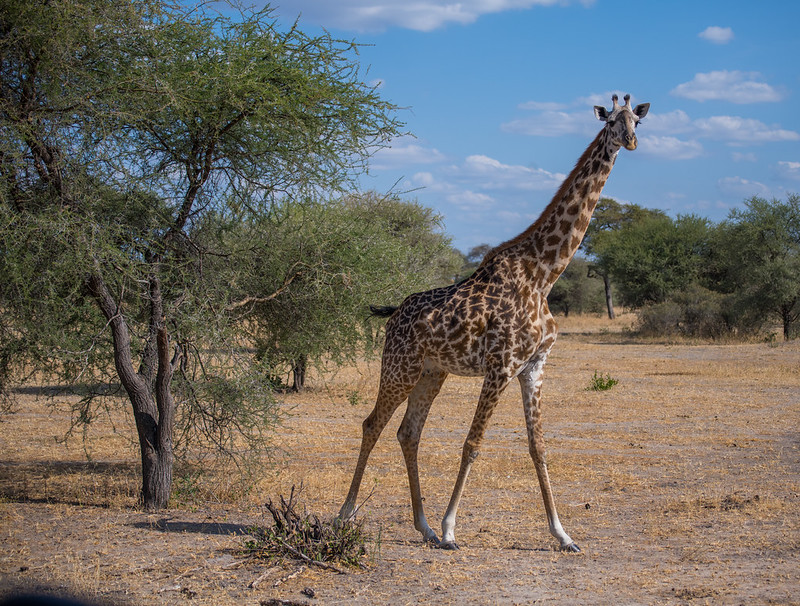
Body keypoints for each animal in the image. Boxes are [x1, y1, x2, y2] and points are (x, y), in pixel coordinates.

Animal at [338, 92, 648, 552]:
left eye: (637, 121)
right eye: (610, 120)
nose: (629, 141)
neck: (544, 274)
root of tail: (394, 313)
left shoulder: (534, 367)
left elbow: (538, 447)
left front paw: (563, 534)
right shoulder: (500, 366)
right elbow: (473, 443)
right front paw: (452, 528)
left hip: (432, 373)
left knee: (408, 433)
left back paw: (423, 526)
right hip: (399, 367)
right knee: (372, 423)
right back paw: (348, 514)